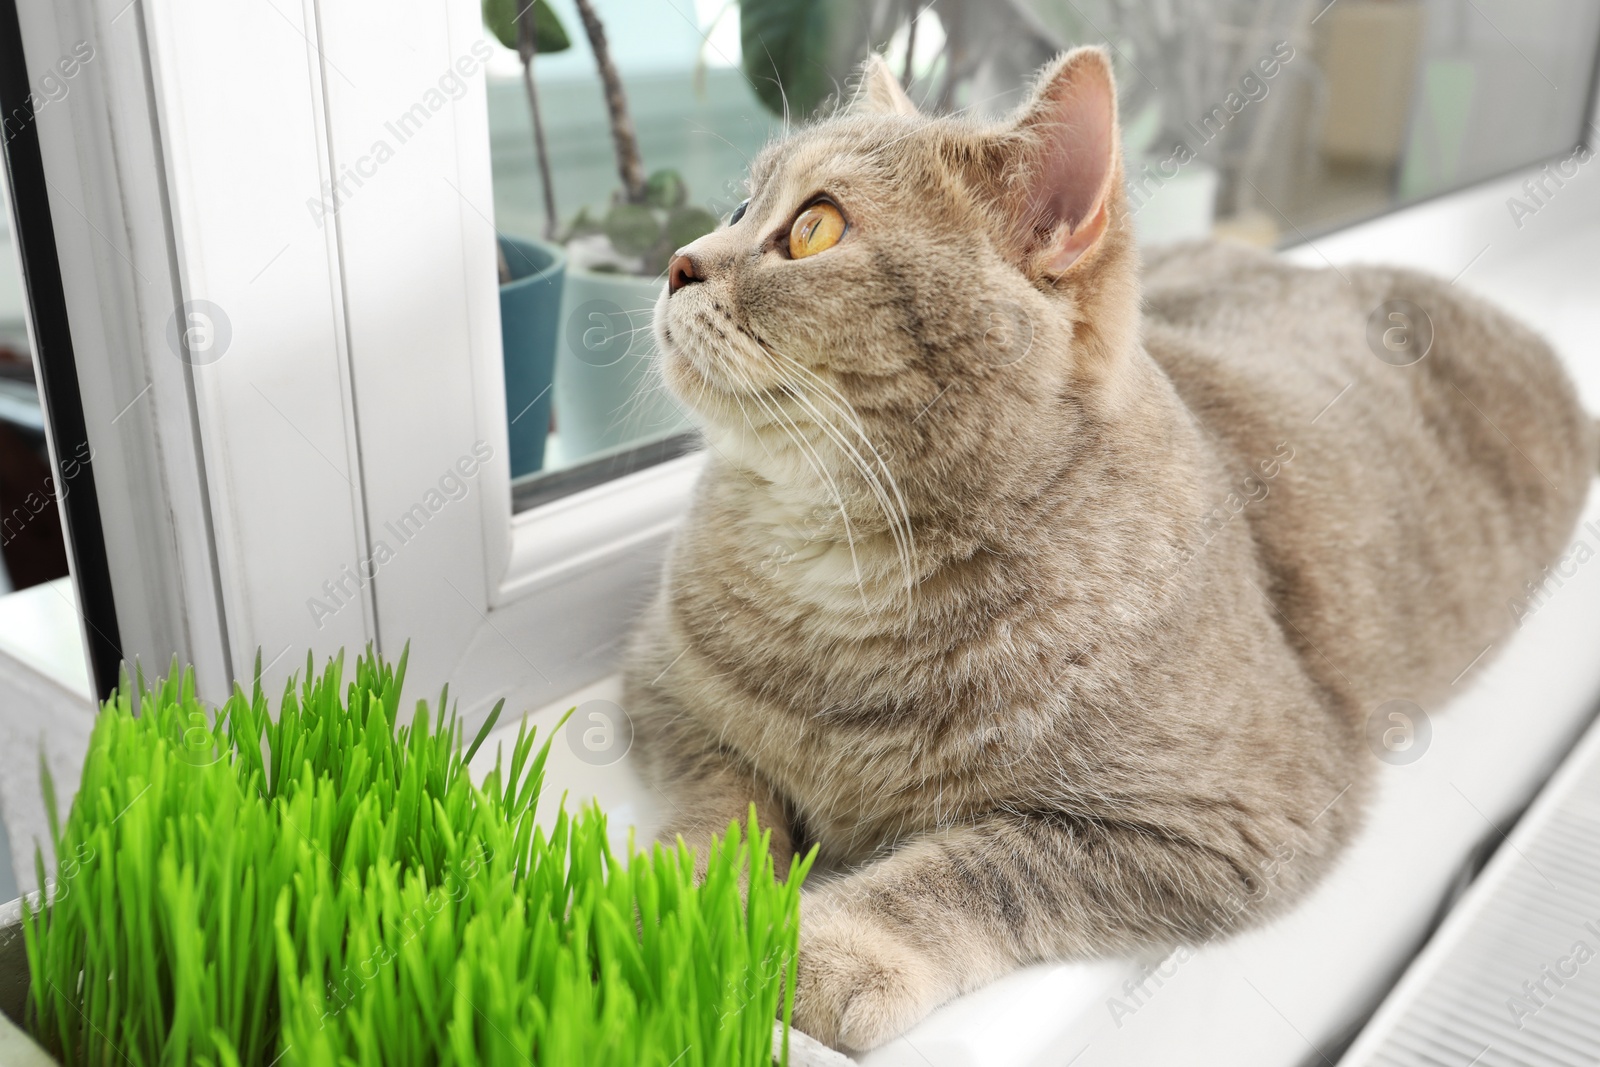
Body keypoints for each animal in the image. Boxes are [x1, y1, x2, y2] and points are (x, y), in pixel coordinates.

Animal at [617, 43, 1593, 1049]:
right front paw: (686, 909)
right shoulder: (664, 689)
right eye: (740, 207)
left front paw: (821, 948)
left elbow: (979, 867)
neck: (845, 570)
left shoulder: (1227, 819)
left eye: (814, 228)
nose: (679, 264)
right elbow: (722, 804)